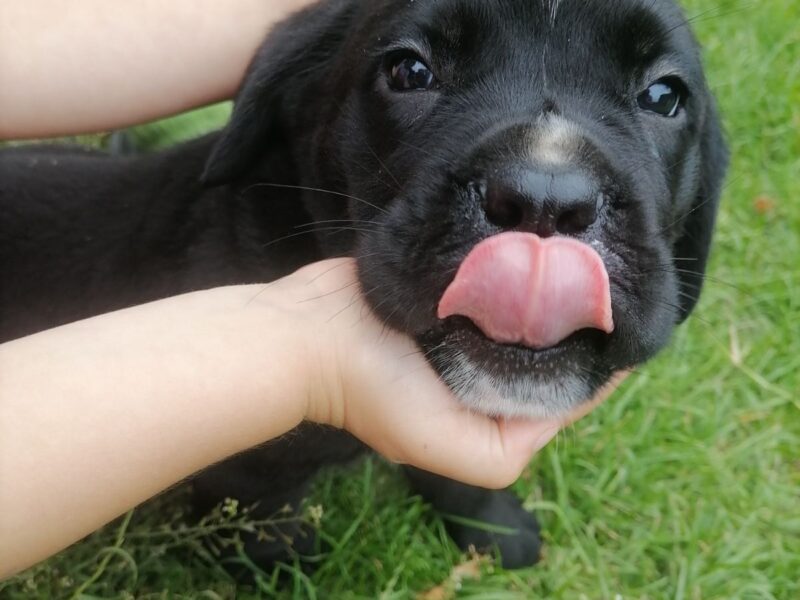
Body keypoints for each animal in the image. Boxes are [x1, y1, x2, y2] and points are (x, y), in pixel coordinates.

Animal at [0, 0, 724, 572]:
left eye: (663, 97)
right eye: (409, 71)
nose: (547, 199)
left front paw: (491, 524)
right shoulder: (244, 474)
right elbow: (258, 529)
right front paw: (286, 567)